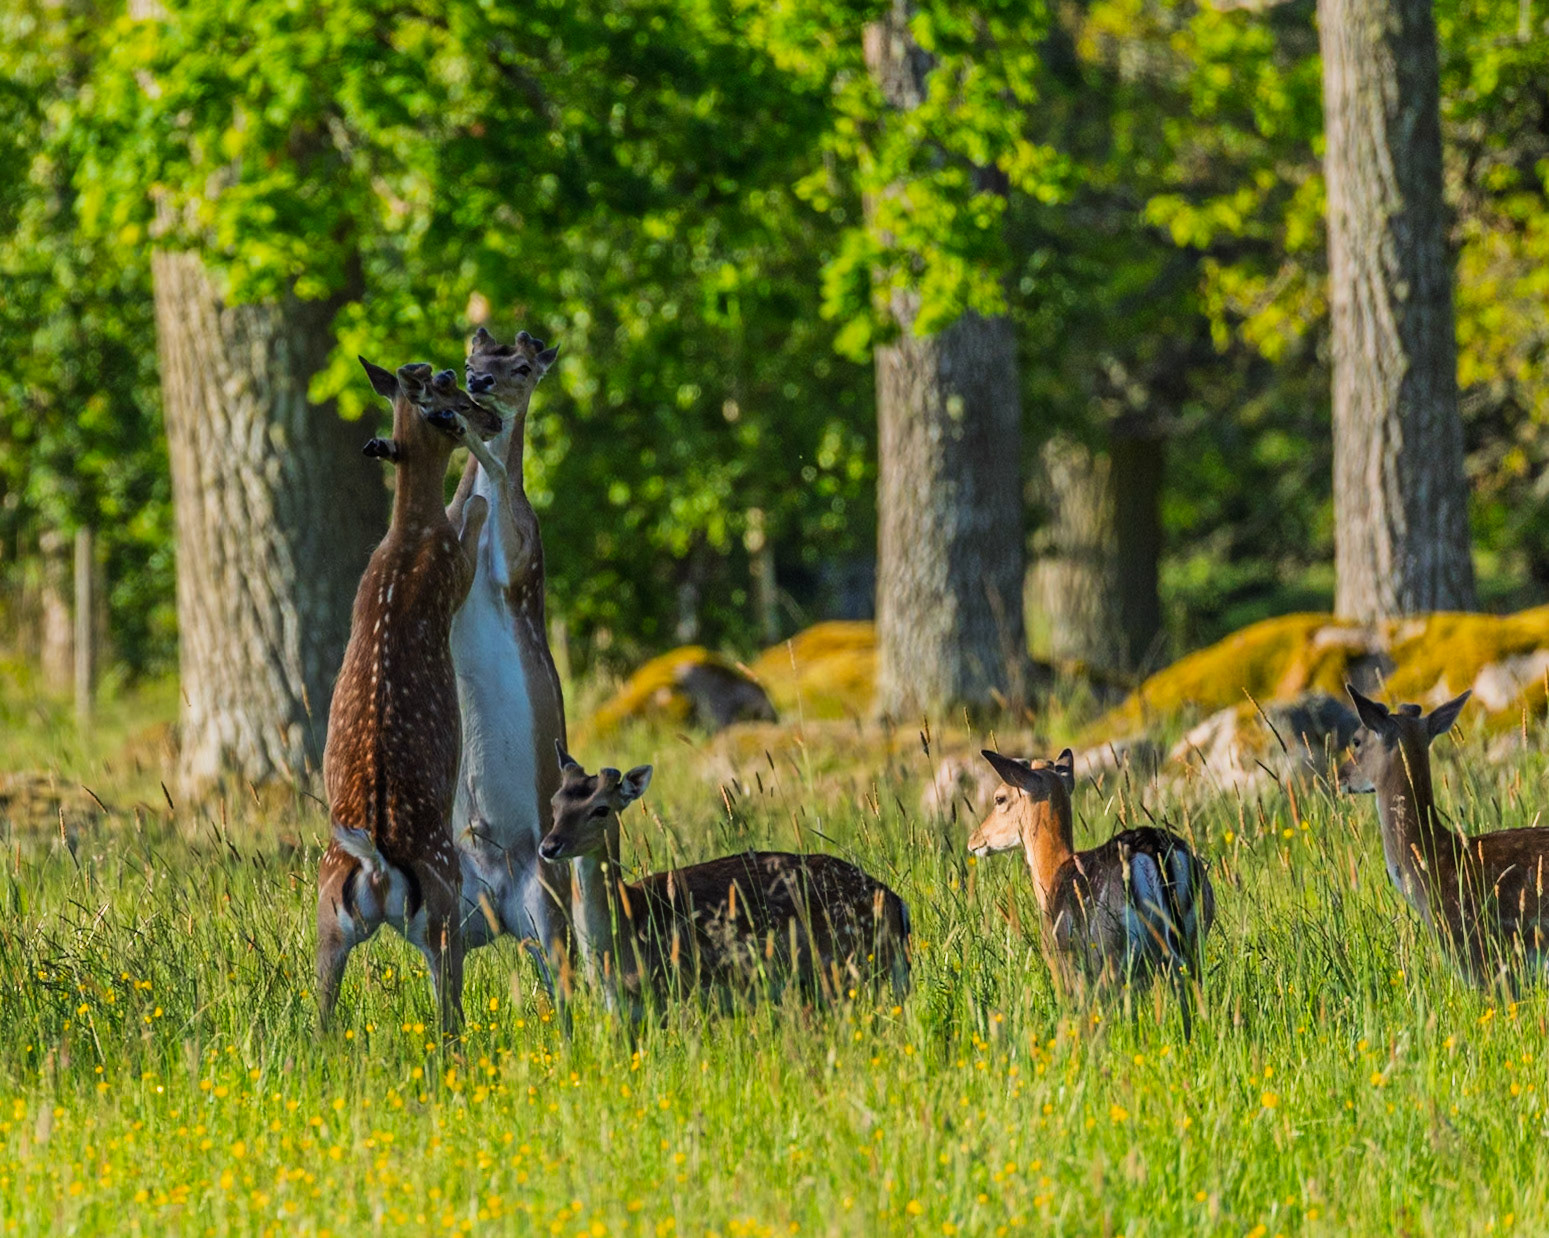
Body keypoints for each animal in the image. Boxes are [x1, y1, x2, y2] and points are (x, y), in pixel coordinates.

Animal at [315, 359, 503, 1035]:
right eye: (450, 387)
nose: (491, 417)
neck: (408, 536)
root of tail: (376, 871)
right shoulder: (454, 569)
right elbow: (470, 517)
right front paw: (478, 495)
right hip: (445, 907)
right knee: (448, 1018)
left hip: (326, 920)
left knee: (320, 1012)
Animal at [536, 743, 911, 1018]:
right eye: (554, 803)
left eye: (601, 809)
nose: (549, 846)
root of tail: (898, 903)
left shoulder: (680, 989)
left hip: (849, 970)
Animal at [971, 749, 1215, 1037]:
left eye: (999, 798)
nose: (974, 839)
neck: (1050, 877)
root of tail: (1155, 849)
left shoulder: (1063, 964)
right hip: (1196, 932)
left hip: (1113, 950)